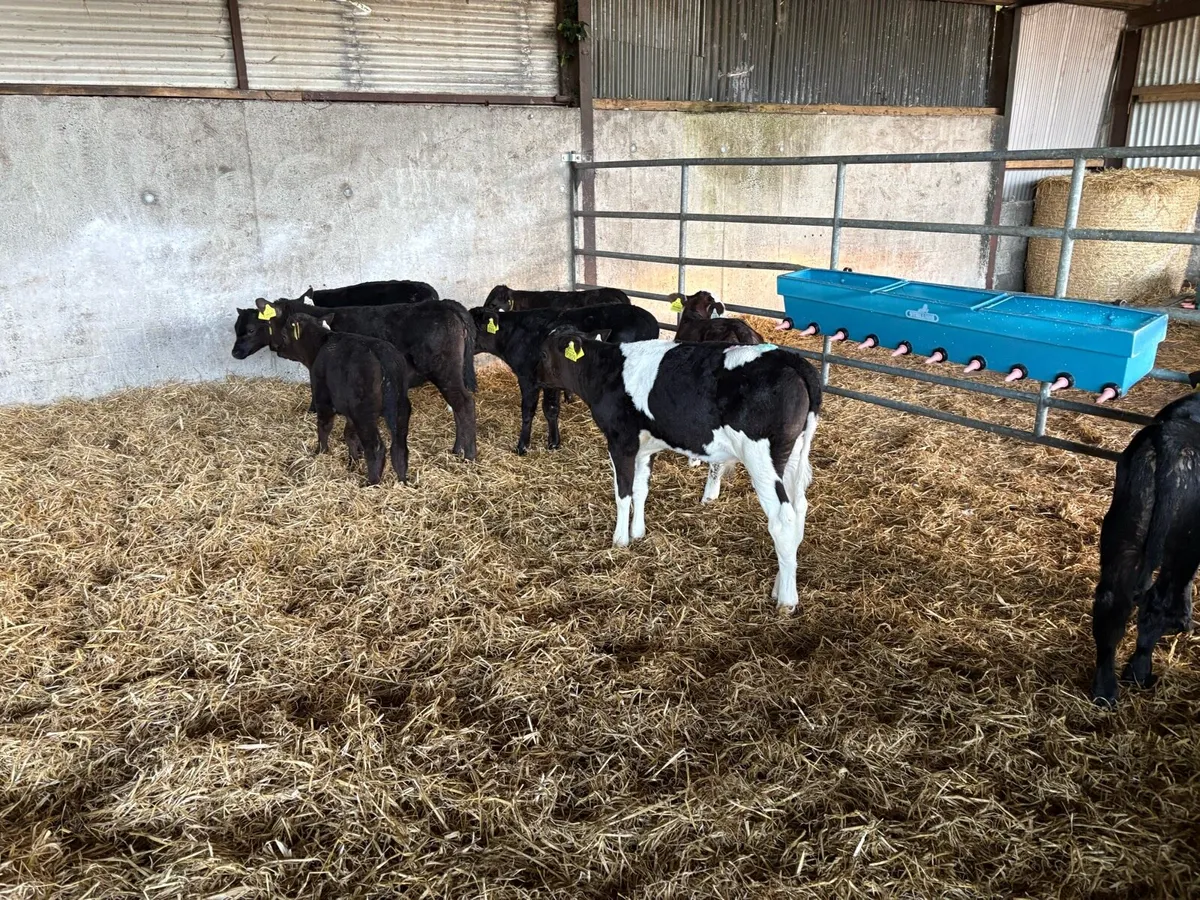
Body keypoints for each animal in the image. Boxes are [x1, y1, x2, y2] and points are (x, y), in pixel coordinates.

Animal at [258, 297, 477, 460]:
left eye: (271, 323)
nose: (274, 347)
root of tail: (445, 304)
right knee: (458, 407)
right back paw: (457, 450)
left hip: (444, 371)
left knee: (464, 404)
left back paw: (469, 454)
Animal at [273, 313, 412, 485]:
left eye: (284, 335)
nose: (277, 349)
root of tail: (384, 356)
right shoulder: (349, 412)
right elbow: (349, 435)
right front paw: (353, 461)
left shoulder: (322, 398)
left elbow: (324, 426)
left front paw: (321, 452)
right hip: (401, 408)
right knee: (399, 447)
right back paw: (402, 481)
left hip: (363, 414)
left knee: (376, 448)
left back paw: (371, 483)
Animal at [471, 304, 659, 455]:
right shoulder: (549, 381)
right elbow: (551, 409)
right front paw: (554, 443)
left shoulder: (527, 379)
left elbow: (528, 412)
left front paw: (522, 446)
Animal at [536, 331, 822, 612]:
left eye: (544, 353)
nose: (535, 378)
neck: (606, 371)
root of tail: (791, 359)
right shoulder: (645, 447)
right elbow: (641, 490)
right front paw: (638, 533)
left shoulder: (620, 442)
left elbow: (623, 493)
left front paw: (620, 540)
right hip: (791, 456)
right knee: (799, 511)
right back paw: (779, 586)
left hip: (760, 457)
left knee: (783, 519)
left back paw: (787, 600)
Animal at [1091, 387, 1200, 706]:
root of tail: (1171, 441)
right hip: (1185, 543)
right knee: (1158, 603)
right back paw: (1139, 671)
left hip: (1126, 524)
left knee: (1112, 603)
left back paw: (1105, 690)